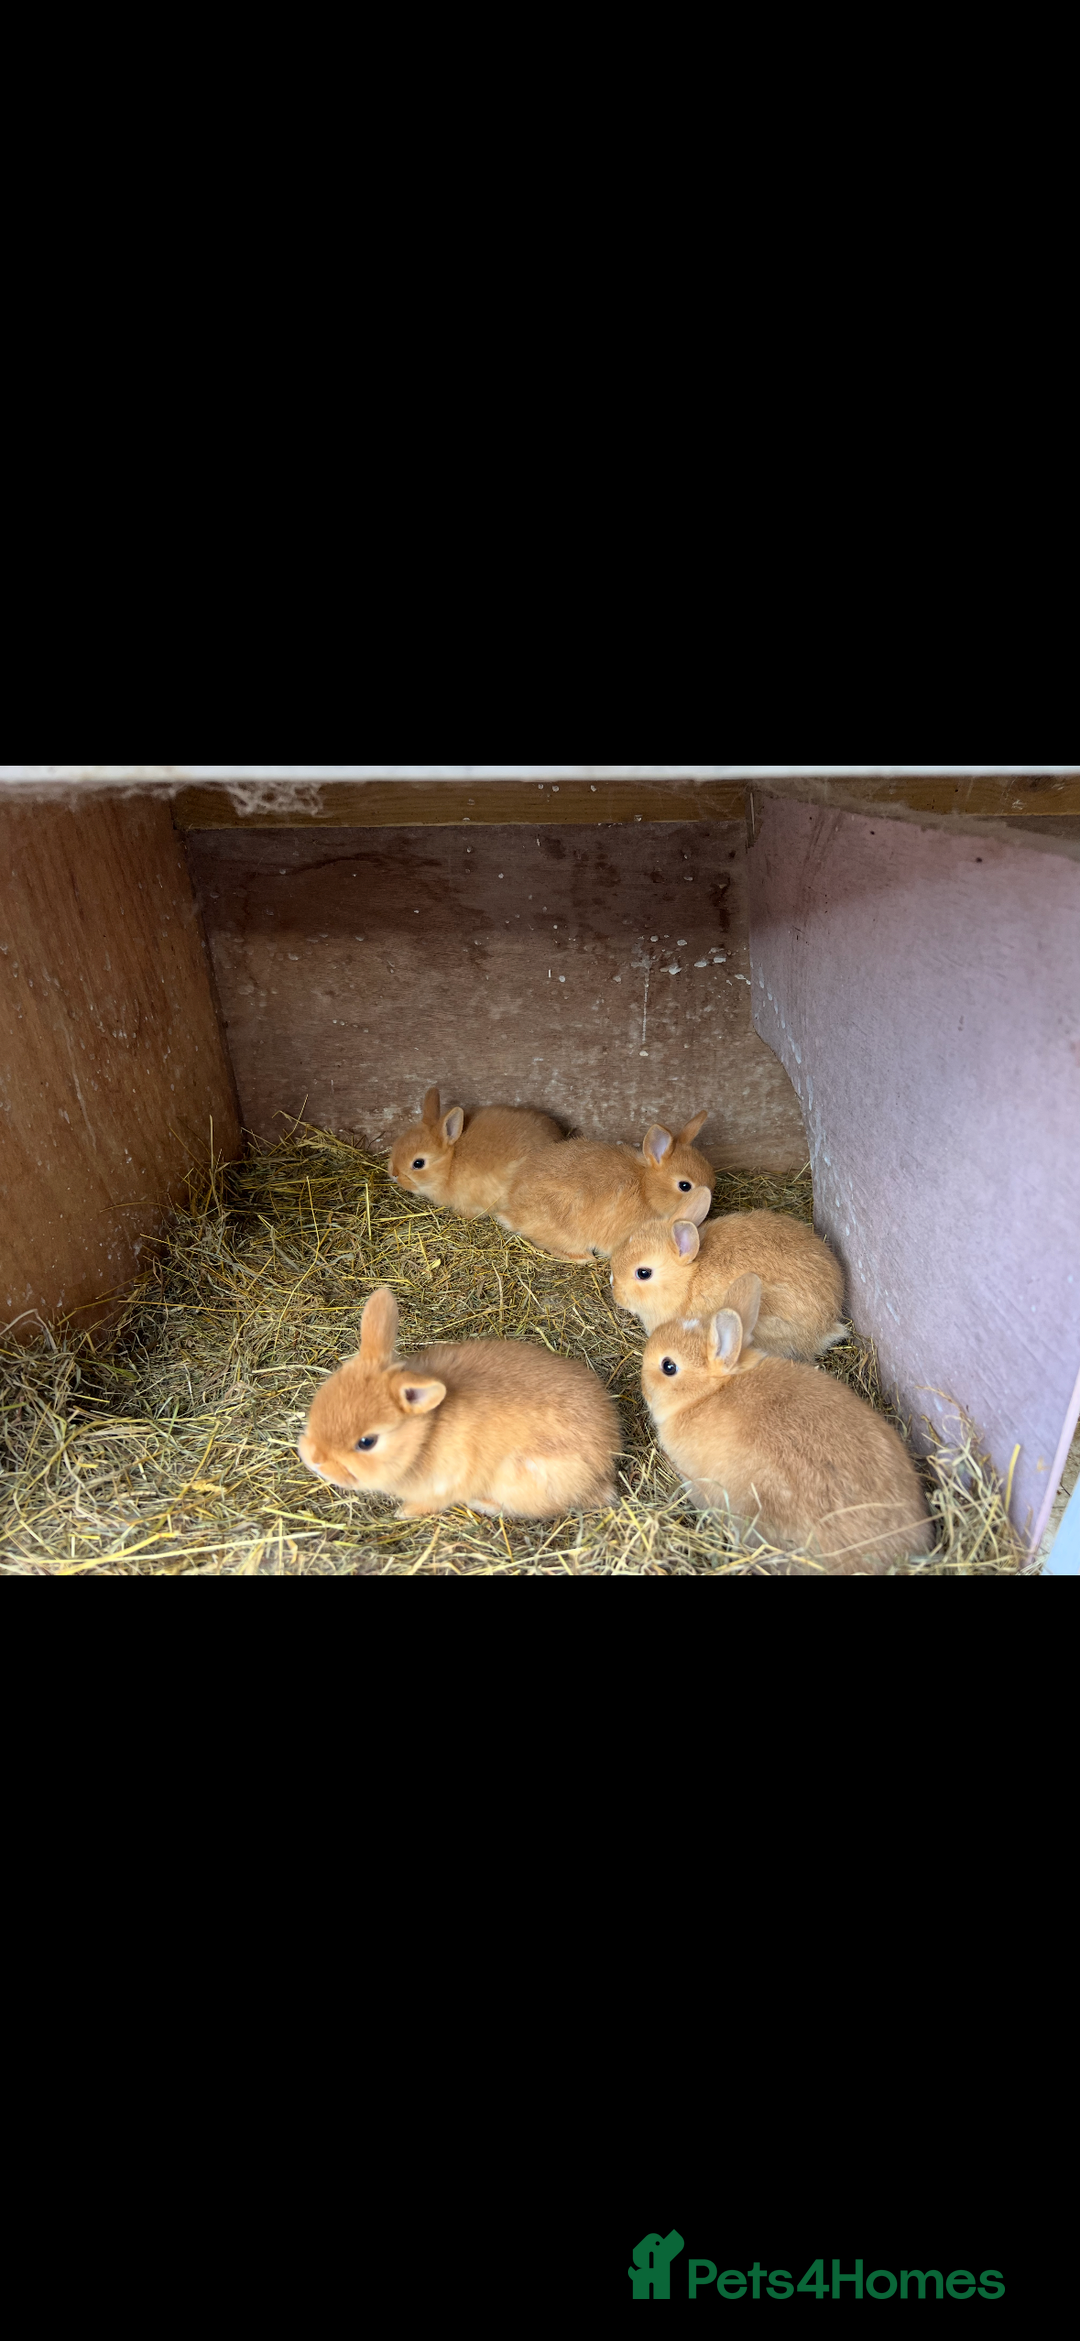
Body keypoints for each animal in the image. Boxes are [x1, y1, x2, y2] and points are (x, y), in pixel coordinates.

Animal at [298, 1285, 619, 1519]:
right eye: (321, 1398)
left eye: (367, 1442)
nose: (315, 1461)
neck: (425, 1434)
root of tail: (602, 1471)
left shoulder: (444, 1485)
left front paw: (404, 1513)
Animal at [497, 1111, 717, 1262]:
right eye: (684, 1185)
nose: (709, 1202)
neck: (645, 1188)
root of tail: (513, 1212)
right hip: (566, 1231)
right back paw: (583, 1258)